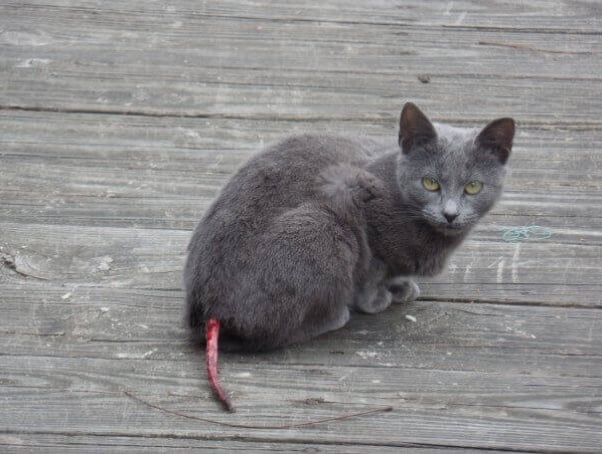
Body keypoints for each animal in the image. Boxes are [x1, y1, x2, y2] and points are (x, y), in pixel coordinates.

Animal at [183, 103, 510, 412]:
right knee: (271, 333)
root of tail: (208, 309)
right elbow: (373, 272)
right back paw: (335, 315)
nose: (450, 214)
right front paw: (377, 299)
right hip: (324, 227)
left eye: (473, 187)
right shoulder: (354, 196)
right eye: (430, 183)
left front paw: (402, 286)